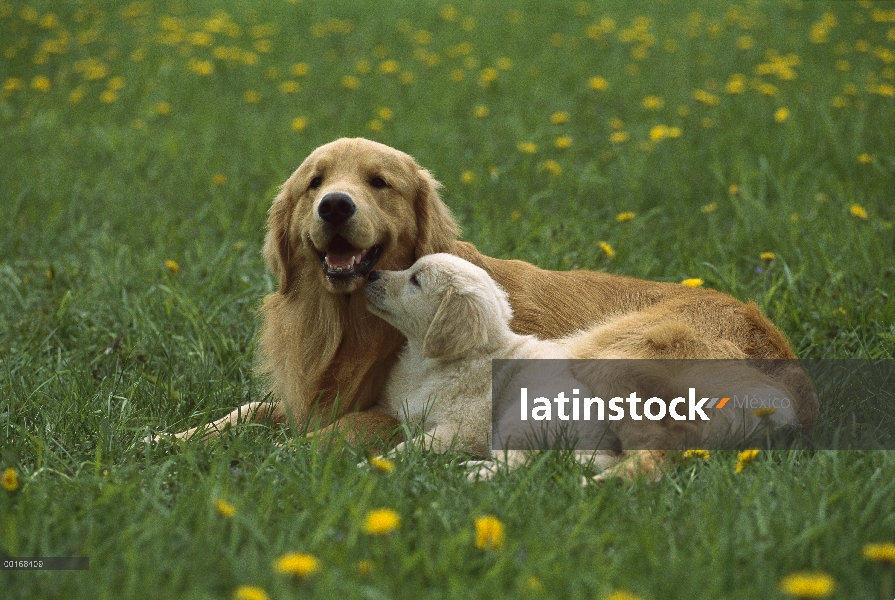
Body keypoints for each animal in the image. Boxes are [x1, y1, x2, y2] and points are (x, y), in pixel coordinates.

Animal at [366, 255, 820, 480]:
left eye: (416, 280)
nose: (369, 273)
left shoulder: (465, 425)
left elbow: (417, 444)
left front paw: (375, 465)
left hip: (601, 368)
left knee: (651, 455)